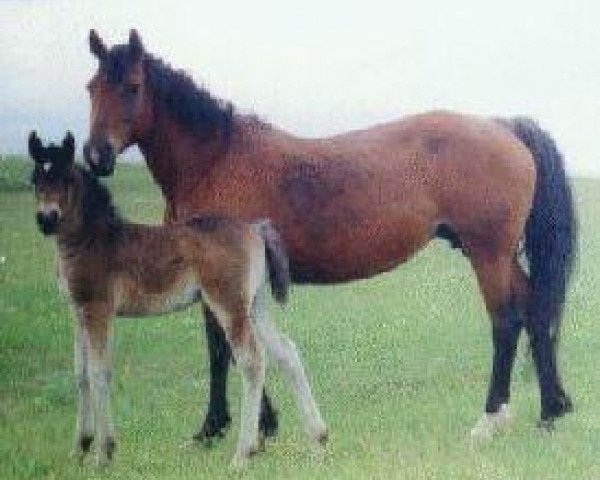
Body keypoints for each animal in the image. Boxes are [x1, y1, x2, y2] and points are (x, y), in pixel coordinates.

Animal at [28, 131, 328, 468]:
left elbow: (98, 372)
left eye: (66, 178)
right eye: (35, 179)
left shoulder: (98, 310)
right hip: (254, 305)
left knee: (252, 360)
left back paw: (243, 454)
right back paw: (318, 440)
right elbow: (80, 374)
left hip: (229, 304)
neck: (92, 240)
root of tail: (255, 227)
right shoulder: (77, 312)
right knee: (286, 351)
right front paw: (79, 448)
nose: (46, 219)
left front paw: (104, 452)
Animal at [84, 30, 576, 440]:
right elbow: (228, 346)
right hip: (499, 255)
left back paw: (489, 421)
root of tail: (503, 126)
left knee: (506, 323)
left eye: (132, 86)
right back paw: (550, 412)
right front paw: (259, 424)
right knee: (535, 311)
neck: (215, 160)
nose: (96, 155)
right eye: (92, 87)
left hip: (487, 254)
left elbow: (223, 347)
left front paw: (217, 427)